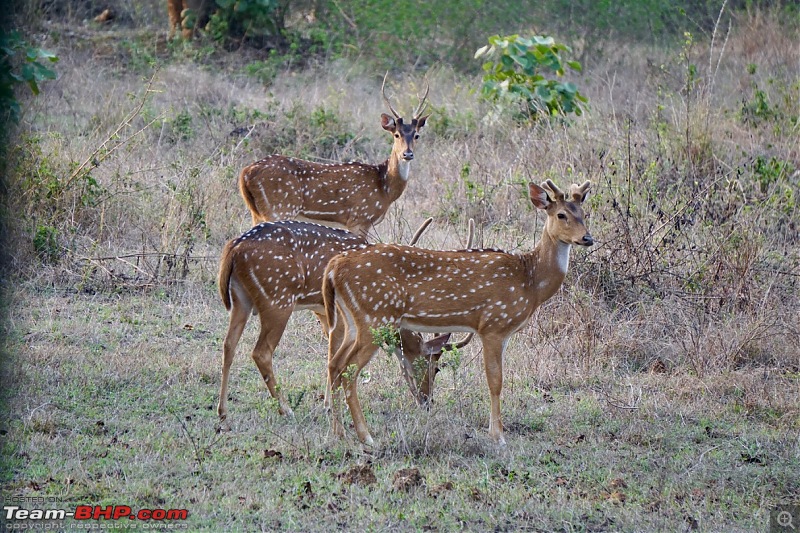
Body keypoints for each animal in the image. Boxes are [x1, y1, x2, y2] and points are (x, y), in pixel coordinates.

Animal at [216, 216, 472, 424]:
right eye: (436, 367)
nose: (427, 401)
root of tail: (234, 248)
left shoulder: (326, 312)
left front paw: (328, 404)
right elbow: (333, 354)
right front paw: (329, 406)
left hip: (240, 299)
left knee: (228, 344)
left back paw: (223, 411)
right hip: (278, 299)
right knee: (261, 351)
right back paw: (286, 409)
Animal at [238, 73, 432, 237]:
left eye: (416, 135)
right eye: (396, 134)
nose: (408, 154)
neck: (384, 187)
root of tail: (246, 173)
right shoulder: (359, 218)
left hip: (257, 212)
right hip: (279, 208)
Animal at [324, 179, 592, 444]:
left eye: (584, 214)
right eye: (561, 214)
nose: (587, 238)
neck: (529, 280)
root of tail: (335, 266)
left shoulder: (504, 331)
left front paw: (496, 432)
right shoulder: (493, 324)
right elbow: (495, 380)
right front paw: (498, 436)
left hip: (353, 319)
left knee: (335, 364)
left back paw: (339, 432)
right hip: (376, 316)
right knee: (348, 370)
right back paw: (365, 436)